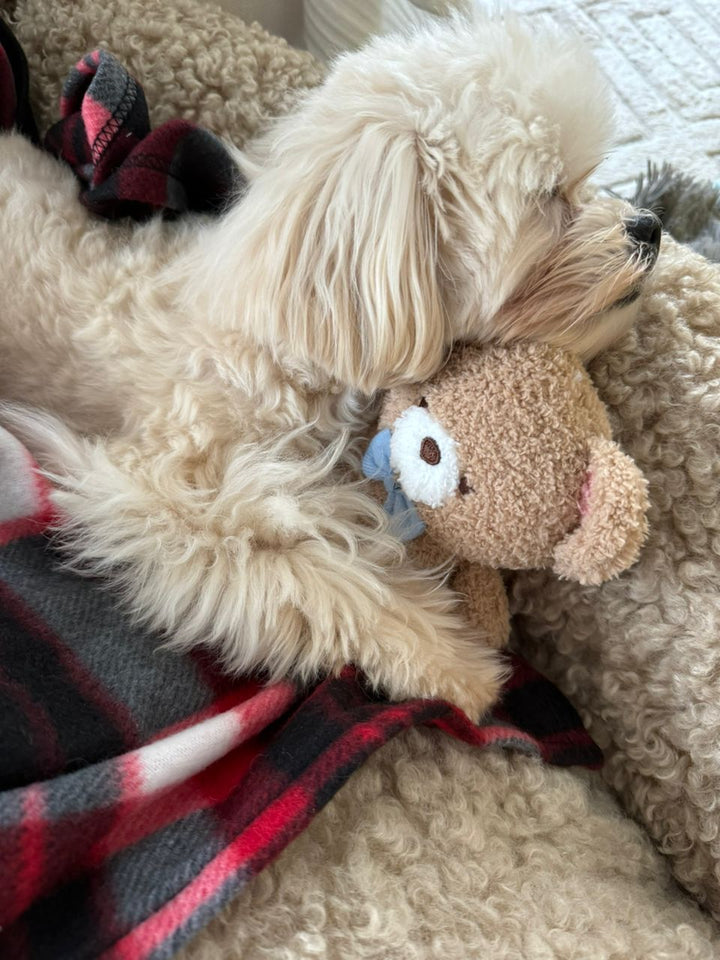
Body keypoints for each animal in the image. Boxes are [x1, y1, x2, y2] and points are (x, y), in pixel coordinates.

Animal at [0, 13, 660, 720]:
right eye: (548, 197)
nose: (649, 225)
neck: (288, 342)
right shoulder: (163, 495)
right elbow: (319, 576)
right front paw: (451, 661)